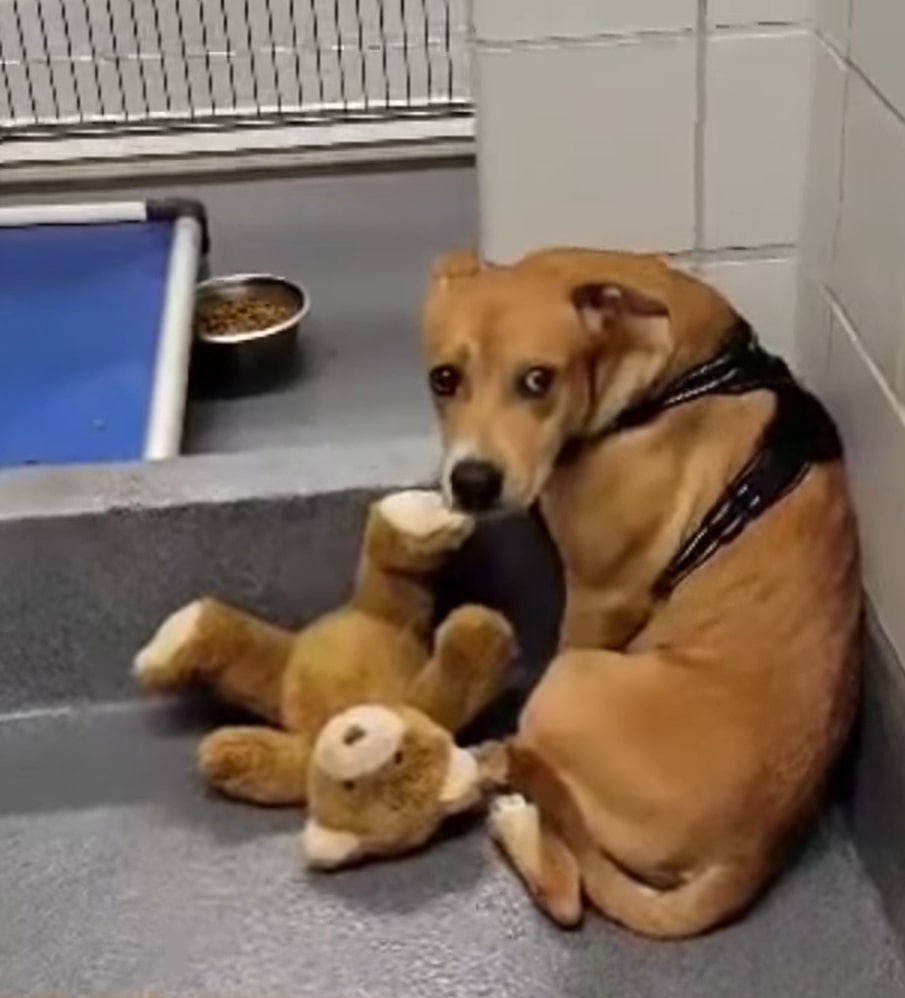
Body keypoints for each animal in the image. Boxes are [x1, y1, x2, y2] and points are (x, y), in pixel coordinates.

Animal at [420, 248, 860, 936]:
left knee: (568, 887)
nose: (472, 482)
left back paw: (506, 794)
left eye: (539, 380)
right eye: (444, 379)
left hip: (569, 683)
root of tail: (751, 853)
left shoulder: (600, 598)